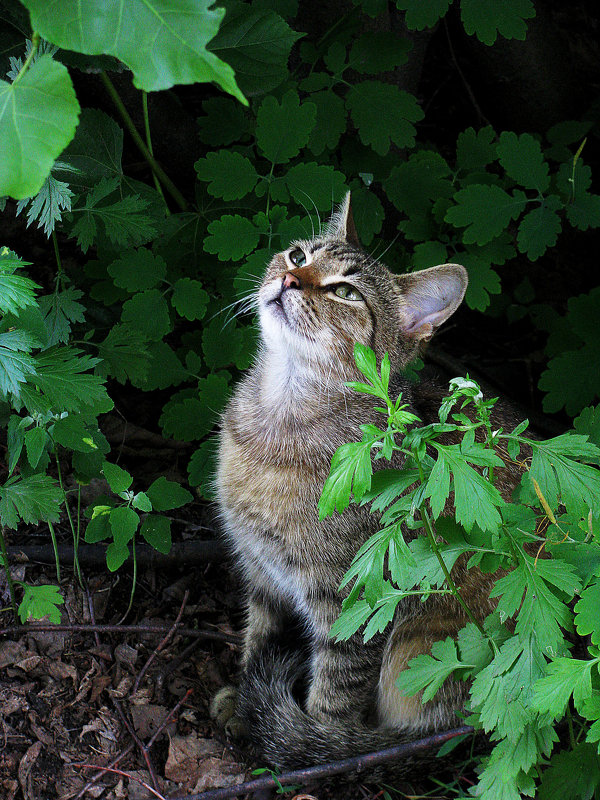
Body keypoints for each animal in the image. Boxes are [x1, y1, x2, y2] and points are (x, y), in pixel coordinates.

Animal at [211, 192, 520, 776]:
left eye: (346, 292)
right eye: (298, 254)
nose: (291, 278)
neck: (276, 419)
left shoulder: (355, 607)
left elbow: (331, 701)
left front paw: (309, 753)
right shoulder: (261, 573)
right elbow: (257, 641)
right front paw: (242, 703)